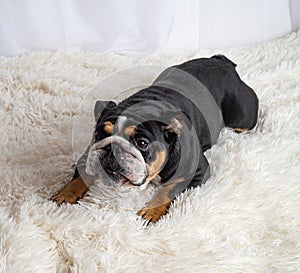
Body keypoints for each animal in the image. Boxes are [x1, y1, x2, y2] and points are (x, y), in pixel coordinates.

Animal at [51, 54, 258, 221]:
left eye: (142, 143)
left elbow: (169, 190)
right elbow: (80, 176)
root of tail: (221, 61)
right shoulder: (88, 155)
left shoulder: (197, 171)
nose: (112, 148)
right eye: (99, 134)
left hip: (242, 116)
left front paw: (150, 212)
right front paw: (65, 194)